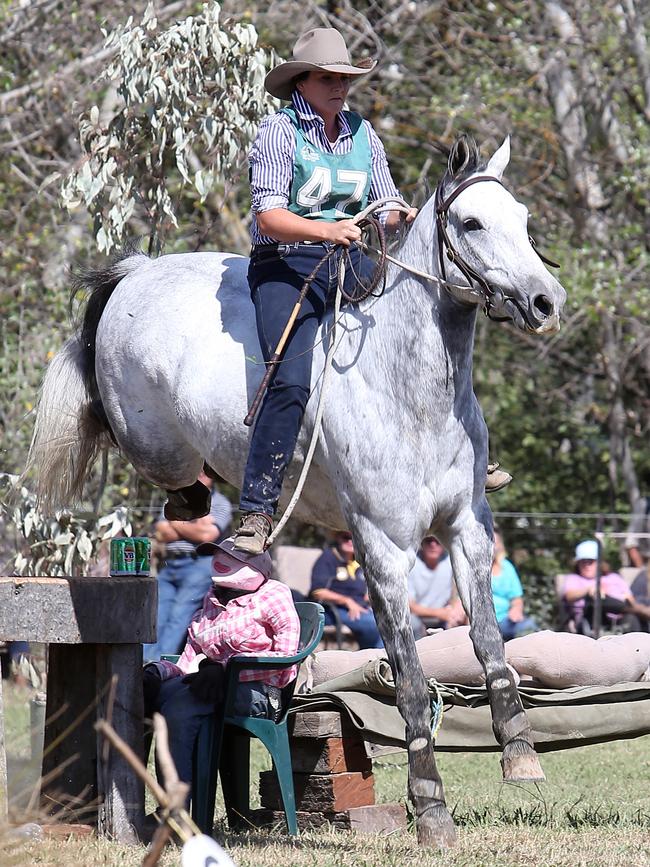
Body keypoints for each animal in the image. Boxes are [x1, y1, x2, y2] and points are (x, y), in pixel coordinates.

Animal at [30, 137, 560, 848]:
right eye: (472, 224)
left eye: (522, 219)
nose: (546, 301)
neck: (413, 387)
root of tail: (136, 273)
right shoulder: (383, 546)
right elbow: (410, 676)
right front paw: (431, 808)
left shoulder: (468, 528)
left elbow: (490, 647)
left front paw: (520, 752)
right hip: (155, 444)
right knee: (168, 480)